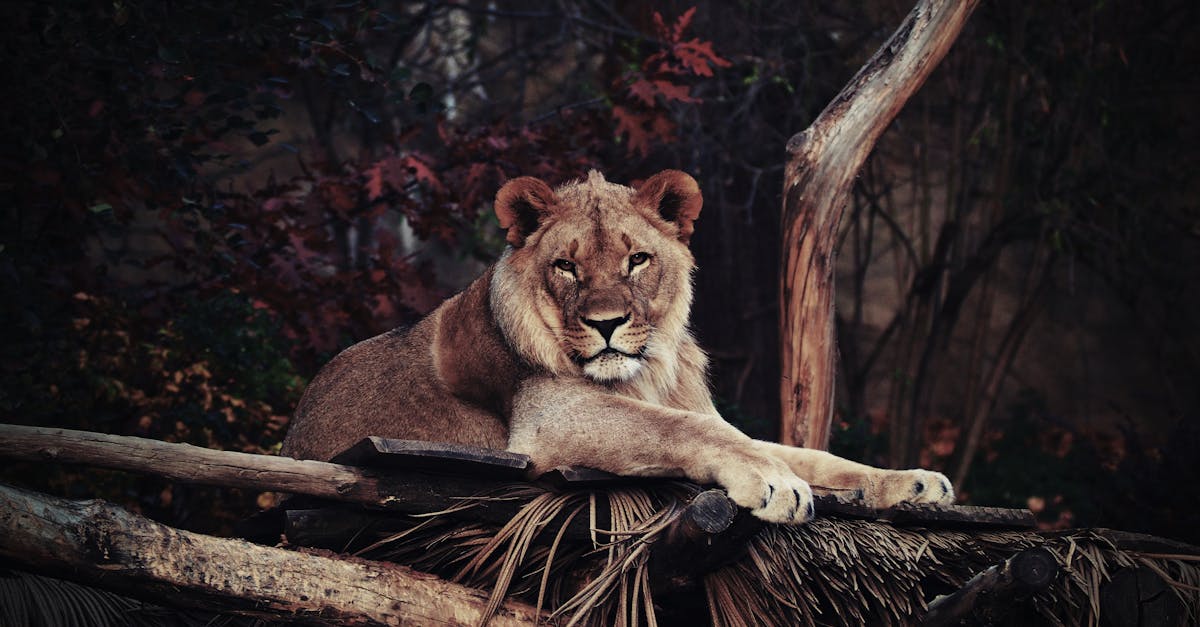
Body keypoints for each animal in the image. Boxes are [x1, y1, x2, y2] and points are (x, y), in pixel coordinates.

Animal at [280, 169, 953, 523]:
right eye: (566, 267)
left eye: (637, 260)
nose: (606, 323)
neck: (645, 373)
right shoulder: (550, 419)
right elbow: (689, 432)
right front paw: (772, 481)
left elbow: (806, 453)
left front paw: (911, 482)